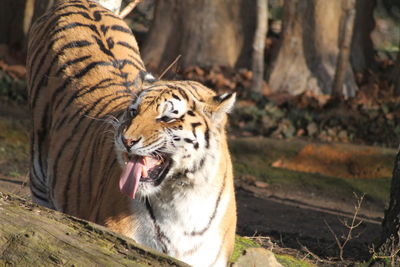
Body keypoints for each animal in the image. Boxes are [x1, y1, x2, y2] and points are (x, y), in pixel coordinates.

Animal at [25, 0, 238, 267]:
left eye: (167, 117)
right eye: (134, 111)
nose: (125, 141)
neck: (182, 197)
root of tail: (79, 3)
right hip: (39, 173)